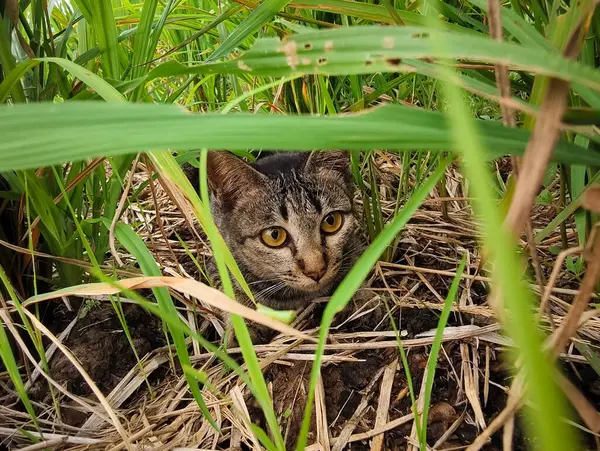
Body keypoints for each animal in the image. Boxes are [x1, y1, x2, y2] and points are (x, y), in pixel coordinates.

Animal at [185, 150, 368, 344]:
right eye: (274, 236)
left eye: (331, 221)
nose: (316, 271)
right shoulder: (218, 264)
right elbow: (232, 292)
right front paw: (245, 325)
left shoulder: (354, 245)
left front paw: (361, 298)